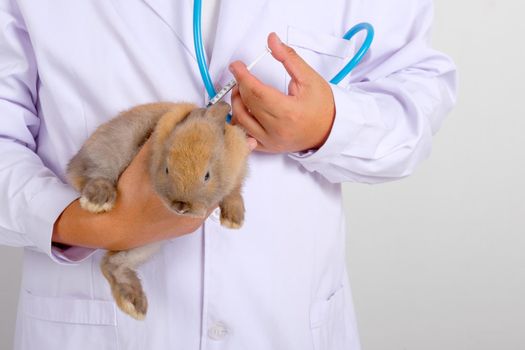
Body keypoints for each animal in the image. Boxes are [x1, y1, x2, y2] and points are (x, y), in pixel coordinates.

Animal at [66, 101, 250, 320]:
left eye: (207, 175)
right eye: (167, 169)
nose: (180, 206)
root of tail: (73, 167)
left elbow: (233, 192)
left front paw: (234, 220)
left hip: (147, 241)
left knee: (112, 263)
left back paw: (133, 303)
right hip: (111, 149)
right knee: (97, 175)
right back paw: (98, 201)